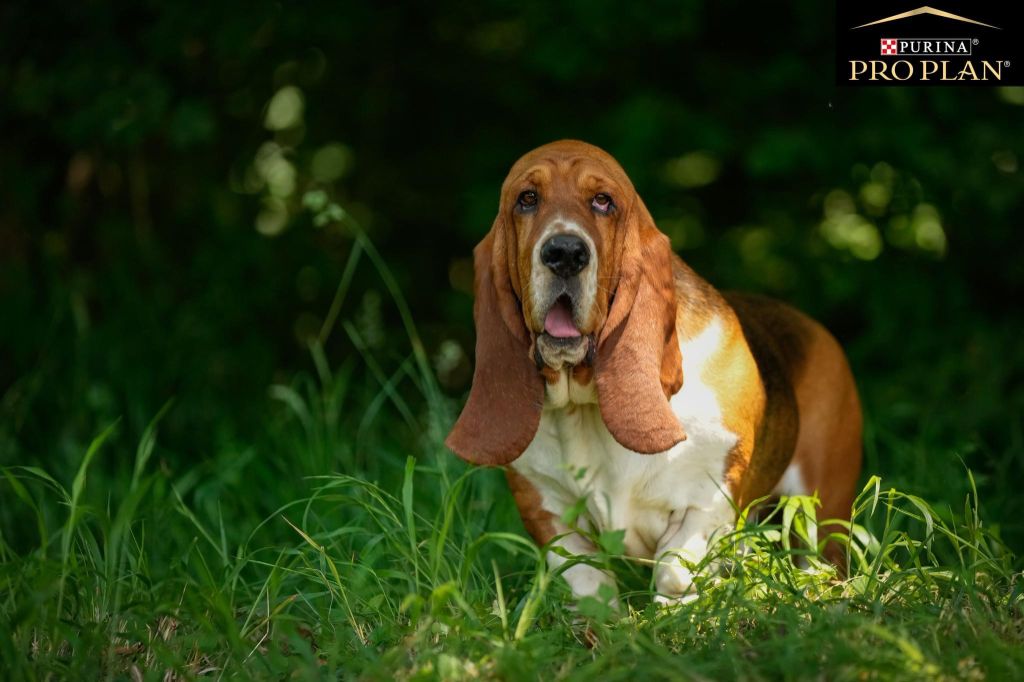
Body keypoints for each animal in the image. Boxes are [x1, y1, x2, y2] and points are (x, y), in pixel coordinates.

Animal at [444, 140, 860, 602]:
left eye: (603, 201)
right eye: (527, 198)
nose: (565, 253)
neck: (585, 404)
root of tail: (812, 325)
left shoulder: (711, 494)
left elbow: (676, 567)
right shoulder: (546, 510)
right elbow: (586, 581)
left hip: (822, 507)